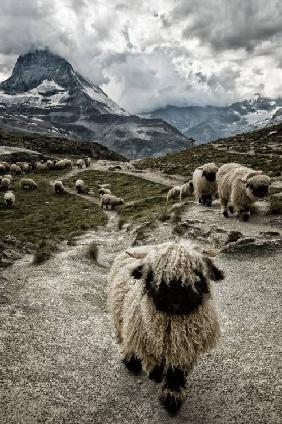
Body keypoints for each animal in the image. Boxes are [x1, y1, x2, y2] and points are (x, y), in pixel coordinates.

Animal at [108, 240, 225, 416]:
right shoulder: (148, 340)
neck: (173, 323)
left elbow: (175, 374)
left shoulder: (182, 350)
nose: (175, 299)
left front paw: (172, 399)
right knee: (127, 338)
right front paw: (156, 375)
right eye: (155, 274)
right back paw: (131, 360)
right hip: (121, 317)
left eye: (197, 272)